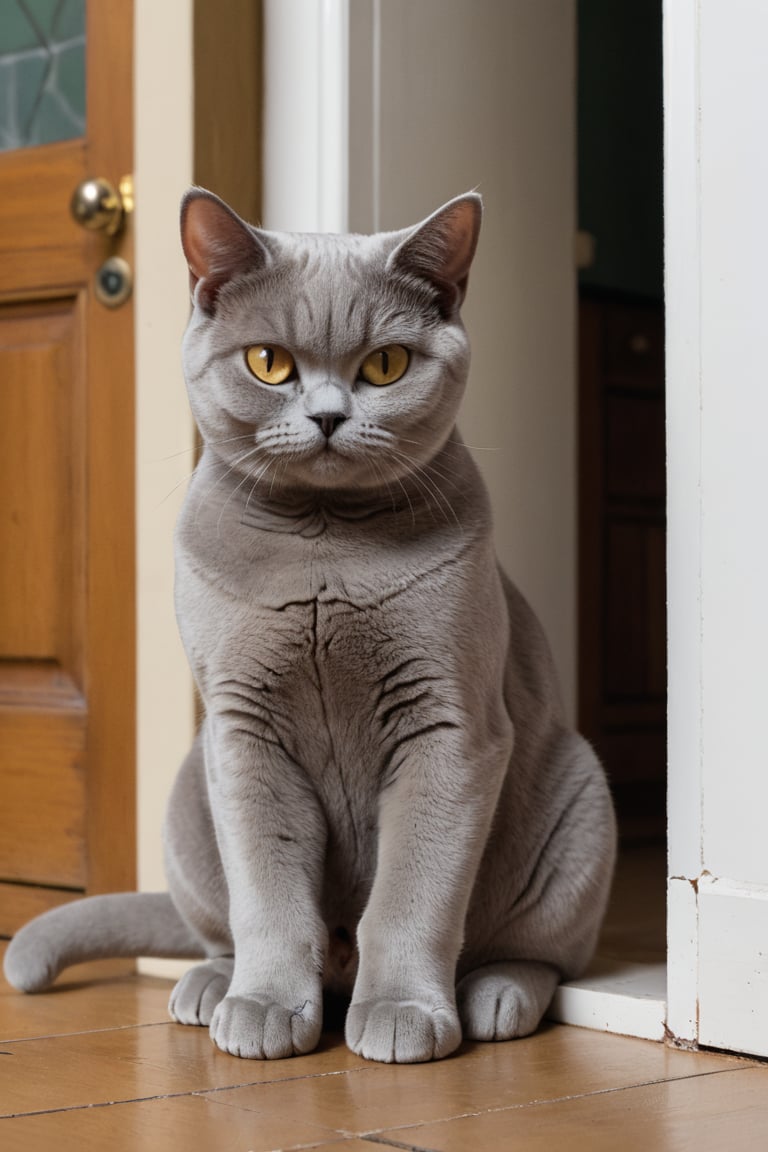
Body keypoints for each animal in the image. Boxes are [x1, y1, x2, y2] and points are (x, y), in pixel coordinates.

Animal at [3, 186, 617, 1059]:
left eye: (386, 365)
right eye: (269, 362)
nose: (328, 415)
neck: (323, 547)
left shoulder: (450, 725)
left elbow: (414, 891)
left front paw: (403, 1013)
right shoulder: (244, 730)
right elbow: (267, 890)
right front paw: (265, 1009)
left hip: (579, 797)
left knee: (542, 954)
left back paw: (494, 997)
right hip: (191, 789)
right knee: (220, 930)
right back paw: (211, 987)